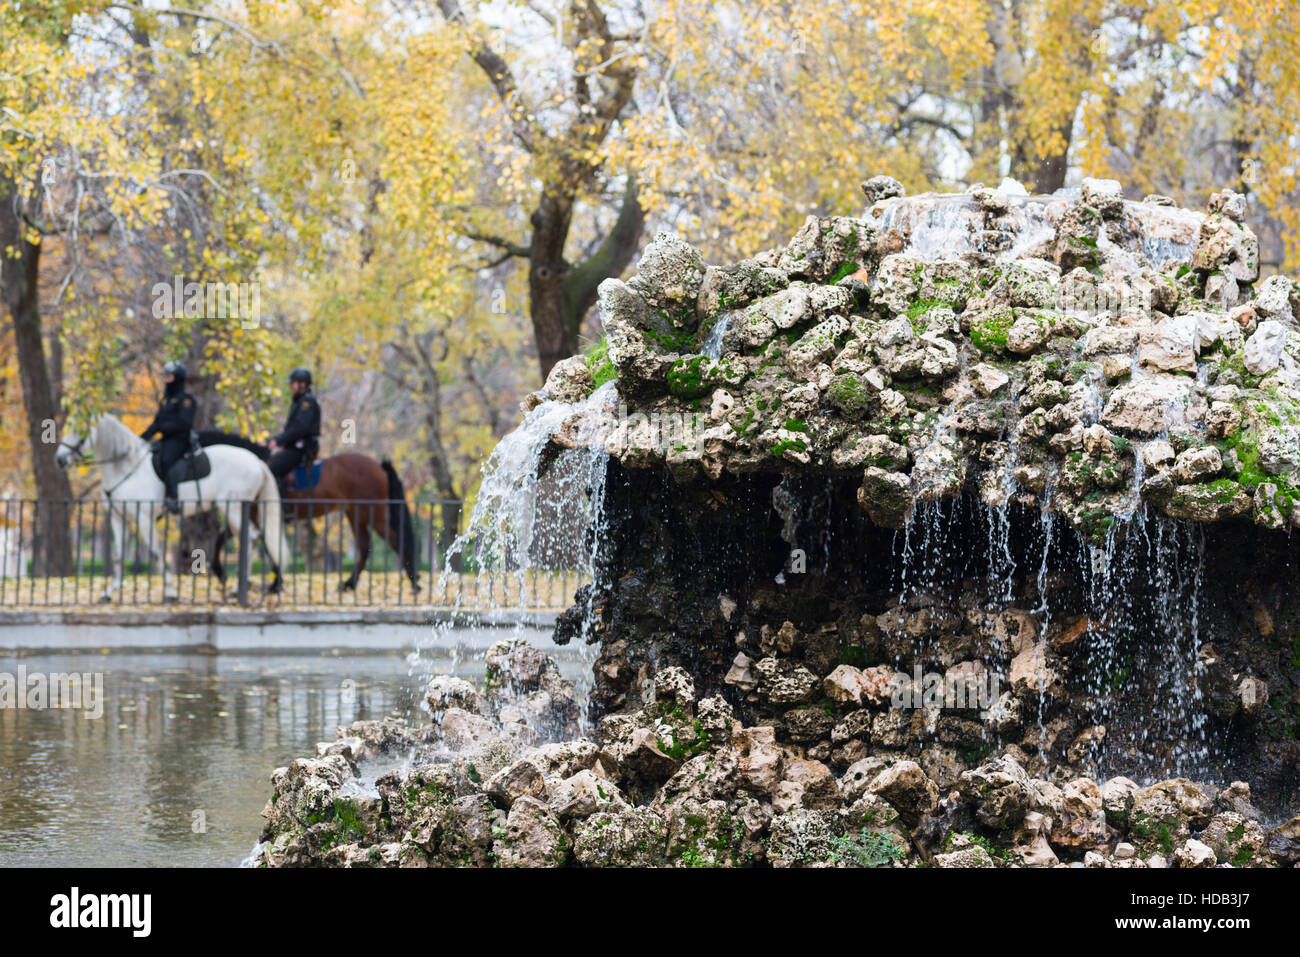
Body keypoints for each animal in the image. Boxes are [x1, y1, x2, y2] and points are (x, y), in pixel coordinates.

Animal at [55, 413, 287, 605]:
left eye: (79, 429)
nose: (60, 459)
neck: (125, 467)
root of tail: (257, 461)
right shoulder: (118, 519)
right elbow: (119, 556)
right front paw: (109, 592)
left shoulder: (144, 519)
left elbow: (156, 554)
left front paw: (170, 592)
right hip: (242, 509)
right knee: (252, 537)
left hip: (233, 508)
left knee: (249, 537)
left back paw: (242, 586)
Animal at [195, 434, 418, 590]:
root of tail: (378, 466)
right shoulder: (254, 518)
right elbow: (224, 538)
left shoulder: (255, 516)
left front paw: (275, 584)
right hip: (355, 514)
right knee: (364, 547)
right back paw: (349, 584)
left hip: (373, 514)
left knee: (396, 541)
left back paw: (414, 582)